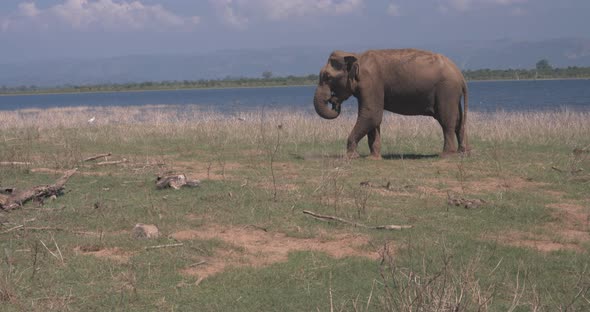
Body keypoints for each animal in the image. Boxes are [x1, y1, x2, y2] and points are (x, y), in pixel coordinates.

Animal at [314, 48, 472, 158]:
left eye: (327, 77)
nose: (334, 101)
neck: (357, 56)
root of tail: (461, 76)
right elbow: (373, 119)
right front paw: (373, 157)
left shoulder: (371, 82)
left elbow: (371, 115)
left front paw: (351, 157)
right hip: (452, 94)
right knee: (458, 121)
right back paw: (462, 153)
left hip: (447, 90)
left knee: (447, 121)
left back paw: (446, 155)